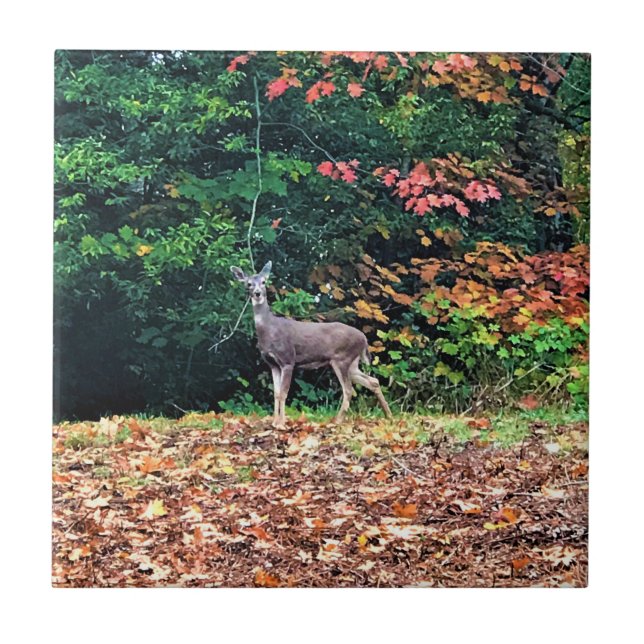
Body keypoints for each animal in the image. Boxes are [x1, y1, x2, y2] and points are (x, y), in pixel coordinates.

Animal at [231, 261, 392, 428]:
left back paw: (337, 420)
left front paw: (281, 424)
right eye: (248, 284)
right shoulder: (272, 364)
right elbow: (276, 393)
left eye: (264, 282)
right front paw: (275, 422)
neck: (269, 329)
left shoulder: (288, 359)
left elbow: (283, 393)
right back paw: (389, 416)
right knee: (373, 381)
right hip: (352, 363)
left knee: (348, 389)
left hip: (342, 358)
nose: (257, 293)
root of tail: (364, 339)